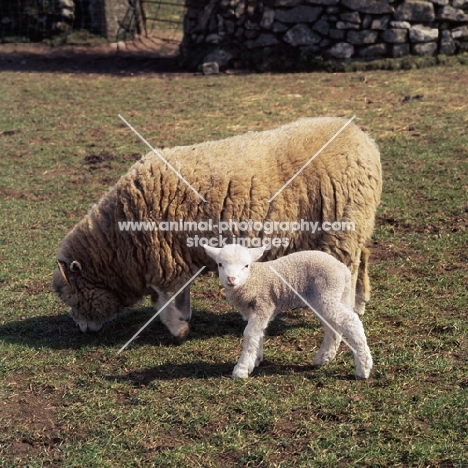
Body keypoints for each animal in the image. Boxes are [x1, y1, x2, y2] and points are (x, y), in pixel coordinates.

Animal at [205, 243, 372, 378]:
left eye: (246, 265)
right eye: (220, 264)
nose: (231, 279)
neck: (252, 279)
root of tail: (343, 270)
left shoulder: (263, 305)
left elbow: (250, 334)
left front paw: (242, 369)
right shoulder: (259, 311)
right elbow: (258, 334)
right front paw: (256, 359)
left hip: (327, 294)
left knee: (351, 321)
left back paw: (363, 369)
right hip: (333, 297)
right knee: (333, 327)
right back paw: (324, 357)